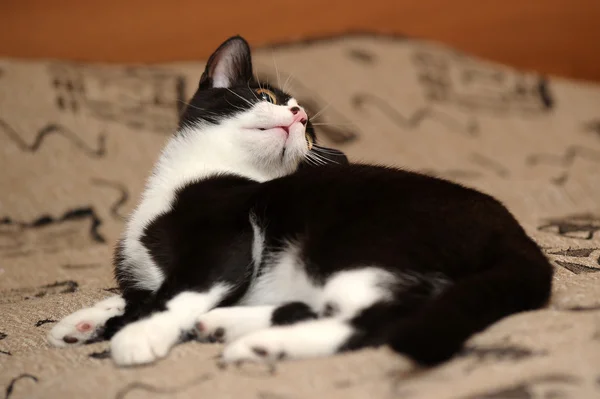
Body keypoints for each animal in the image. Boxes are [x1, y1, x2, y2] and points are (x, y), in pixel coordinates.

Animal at [48, 36, 552, 368]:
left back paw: (256, 344)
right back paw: (231, 324)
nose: (300, 114)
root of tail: (519, 238)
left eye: (308, 132)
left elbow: (181, 290)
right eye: (264, 95)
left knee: (380, 319)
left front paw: (139, 333)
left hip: (357, 243)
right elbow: (143, 293)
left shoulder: (227, 239)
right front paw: (86, 320)